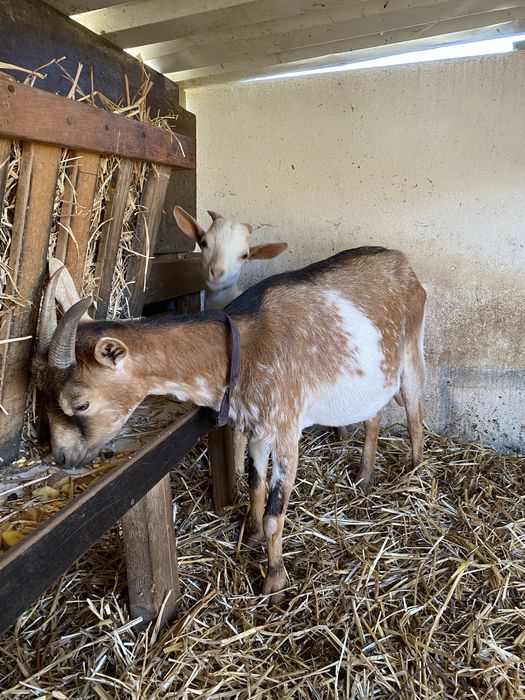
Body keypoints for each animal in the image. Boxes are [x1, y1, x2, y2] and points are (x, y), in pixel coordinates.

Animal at [37, 245, 426, 604]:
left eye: (79, 404)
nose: (62, 457)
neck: (244, 347)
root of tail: (404, 262)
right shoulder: (257, 427)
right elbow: (253, 484)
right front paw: (250, 533)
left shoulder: (286, 426)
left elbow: (274, 513)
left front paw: (274, 579)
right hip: (375, 380)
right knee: (374, 416)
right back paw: (364, 476)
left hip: (412, 349)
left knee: (414, 413)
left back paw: (415, 469)